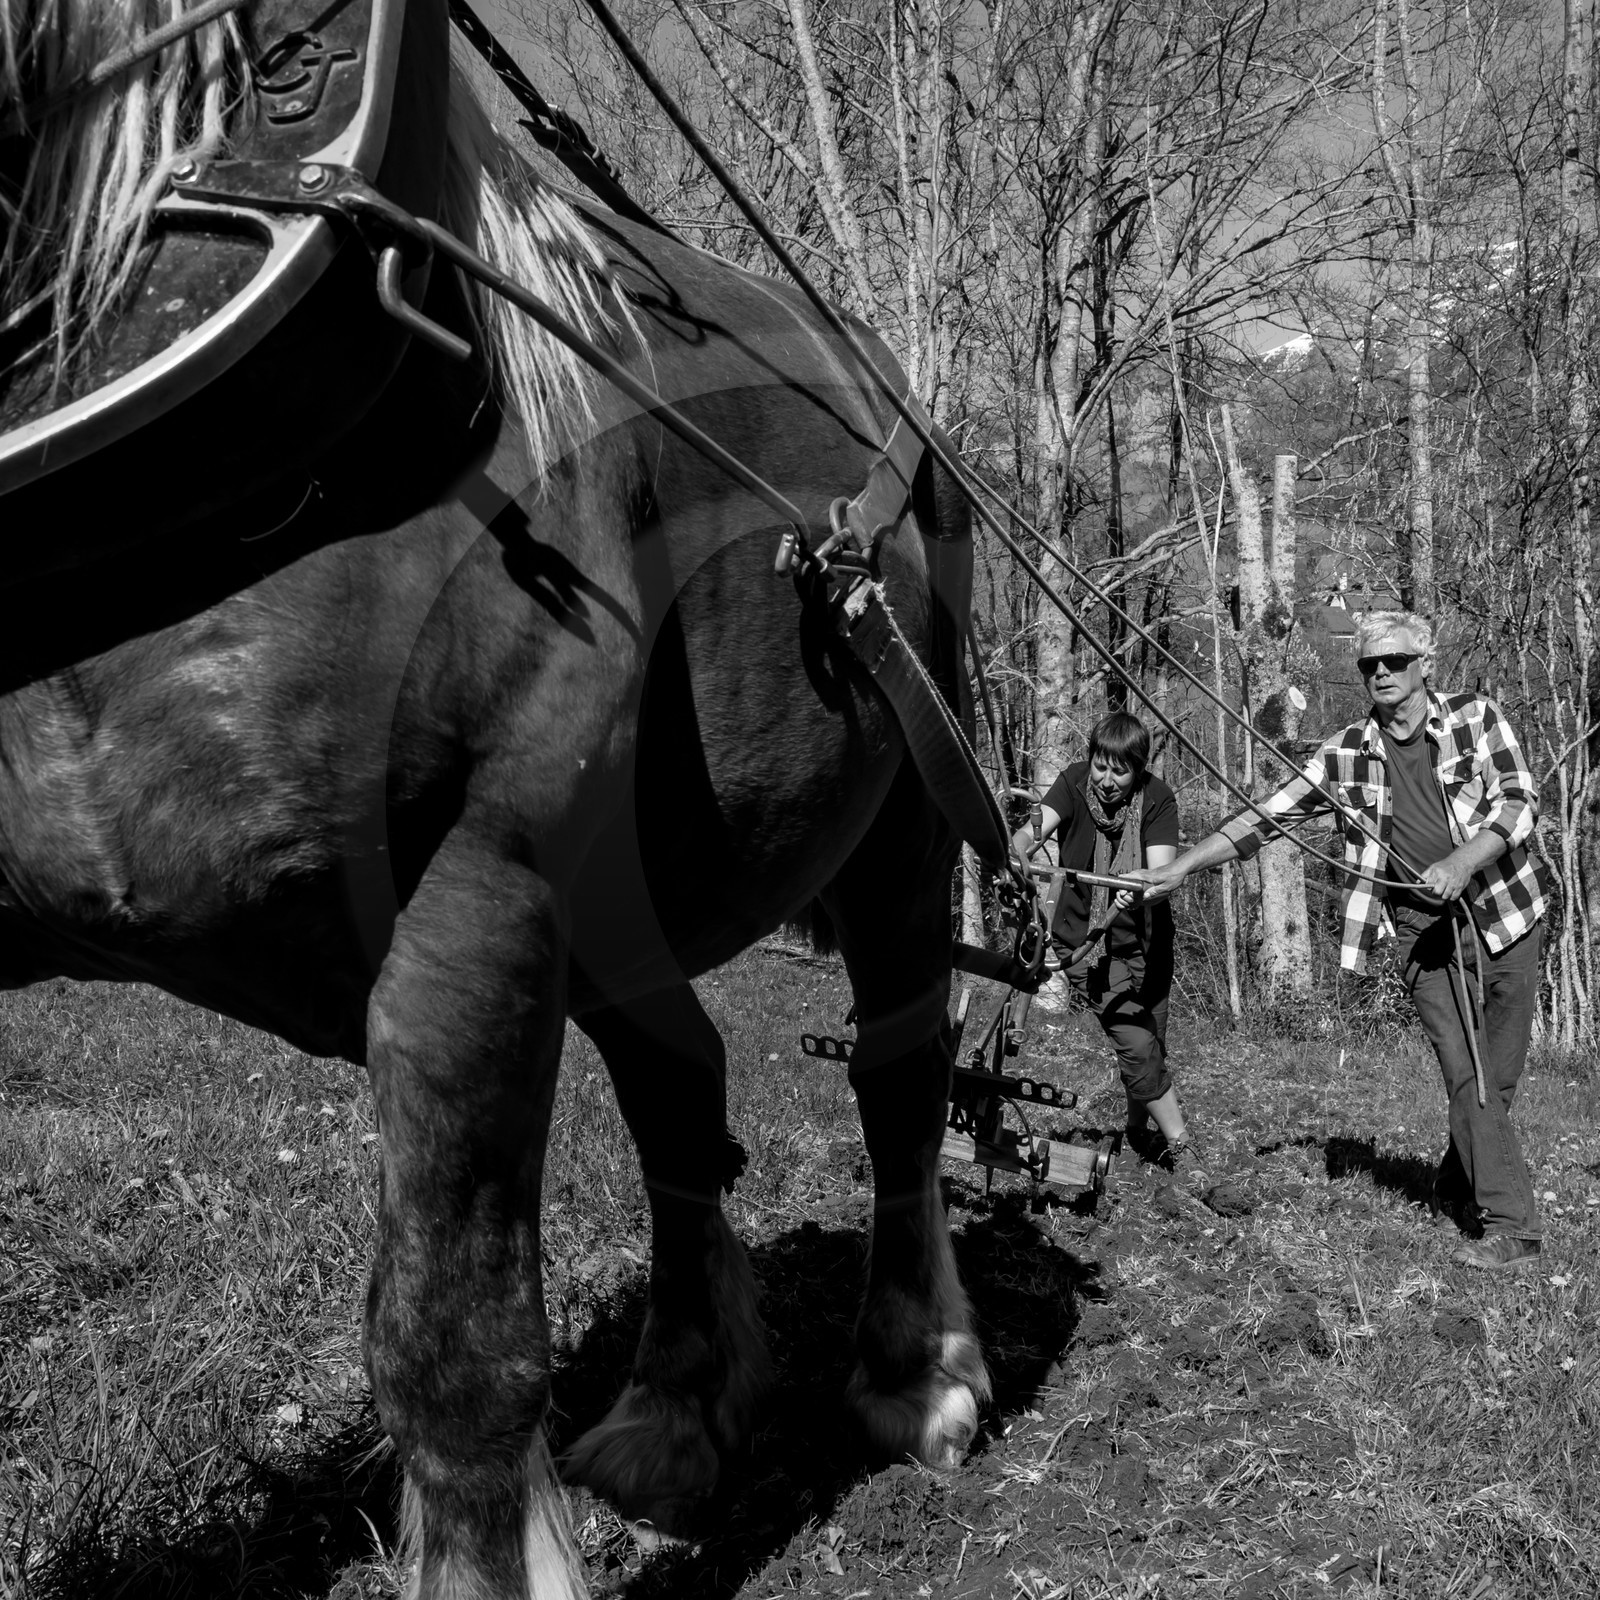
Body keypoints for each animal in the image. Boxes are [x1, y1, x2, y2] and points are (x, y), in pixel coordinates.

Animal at [1, 2, 994, 1594]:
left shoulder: (477, 896)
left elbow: (452, 1345)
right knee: (680, 1095)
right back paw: (676, 1410)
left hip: (897, 811)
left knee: (900, 1077)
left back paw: (915, 1373)